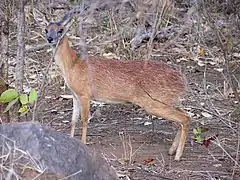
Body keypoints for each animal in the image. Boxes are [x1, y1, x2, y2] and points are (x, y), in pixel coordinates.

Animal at [34, 10, 190, 160]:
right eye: (46, 29)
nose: (50, 39)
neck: (72, 65)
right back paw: (171, 150)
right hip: (167, 100)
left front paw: (83, 145)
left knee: (185, 118)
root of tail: (182, 81)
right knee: (184, 115)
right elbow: (73, 120)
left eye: (61, 30)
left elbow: (84, 120)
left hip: (155, 102)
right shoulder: (74, 94)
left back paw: (177, 155)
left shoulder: (85, 94)